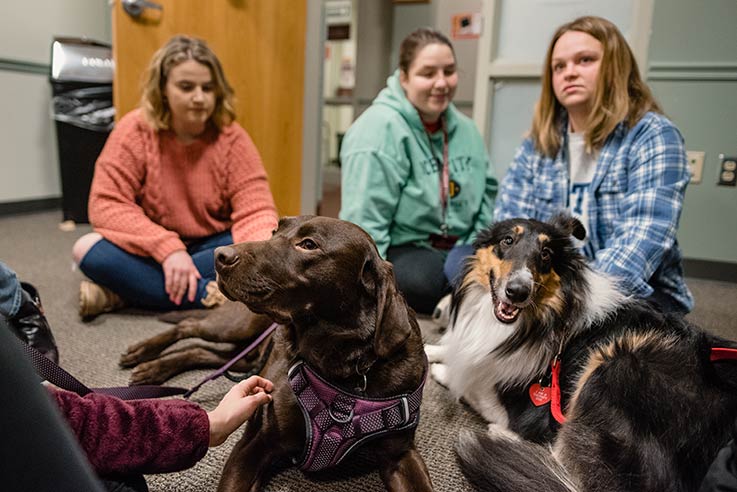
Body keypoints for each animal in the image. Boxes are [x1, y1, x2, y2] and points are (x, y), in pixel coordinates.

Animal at [119, 217, 432, 490]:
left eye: (308, 244)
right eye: (274, 231)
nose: (220, 256)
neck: (339, 363)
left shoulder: (400, 455)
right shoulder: (255, 443)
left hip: (246, 355)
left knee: (201, 351)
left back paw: (155, 367)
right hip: (237, 326)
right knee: (187, 326)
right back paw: (144, 354)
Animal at [422, 213, 736, 490]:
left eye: (546, 253)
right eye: (507, 240)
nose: (518, 291)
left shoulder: (520, 409)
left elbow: (471, 382)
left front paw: (442, 371)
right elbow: (452, 349)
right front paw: (429, 349)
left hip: (617, 363)